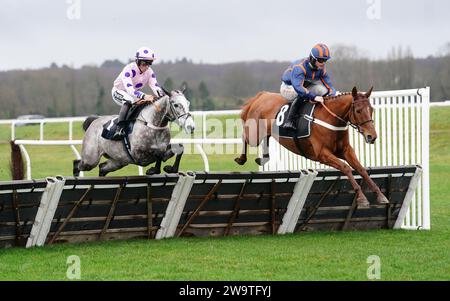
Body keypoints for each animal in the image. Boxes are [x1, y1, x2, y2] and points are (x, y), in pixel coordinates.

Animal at [234, 88, 388, 207]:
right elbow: (346, 168)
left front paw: (381, 196)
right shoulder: (322, 154)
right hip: (254, 134)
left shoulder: (345, 150)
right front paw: (361, 198)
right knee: (244, 136)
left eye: (371, 109)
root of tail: (262, 96)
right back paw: (241, 159)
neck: (331, 119)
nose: (372, 136)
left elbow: (361, 169)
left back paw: (263, 159)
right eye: (358, 110)